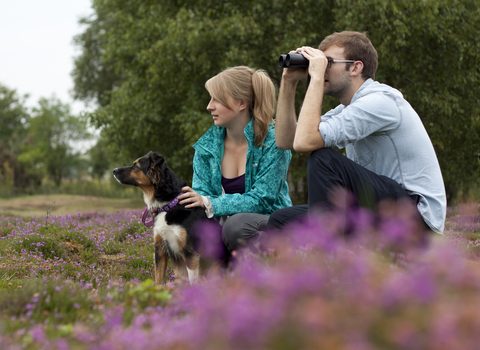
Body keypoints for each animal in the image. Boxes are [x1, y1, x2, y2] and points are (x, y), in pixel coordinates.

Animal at [112, 152, 227, 284]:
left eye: (135, 166)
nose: (114, 170)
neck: (168, 205)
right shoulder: (160, 248)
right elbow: (158, 279)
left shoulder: (190, 252)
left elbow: (193, 280)